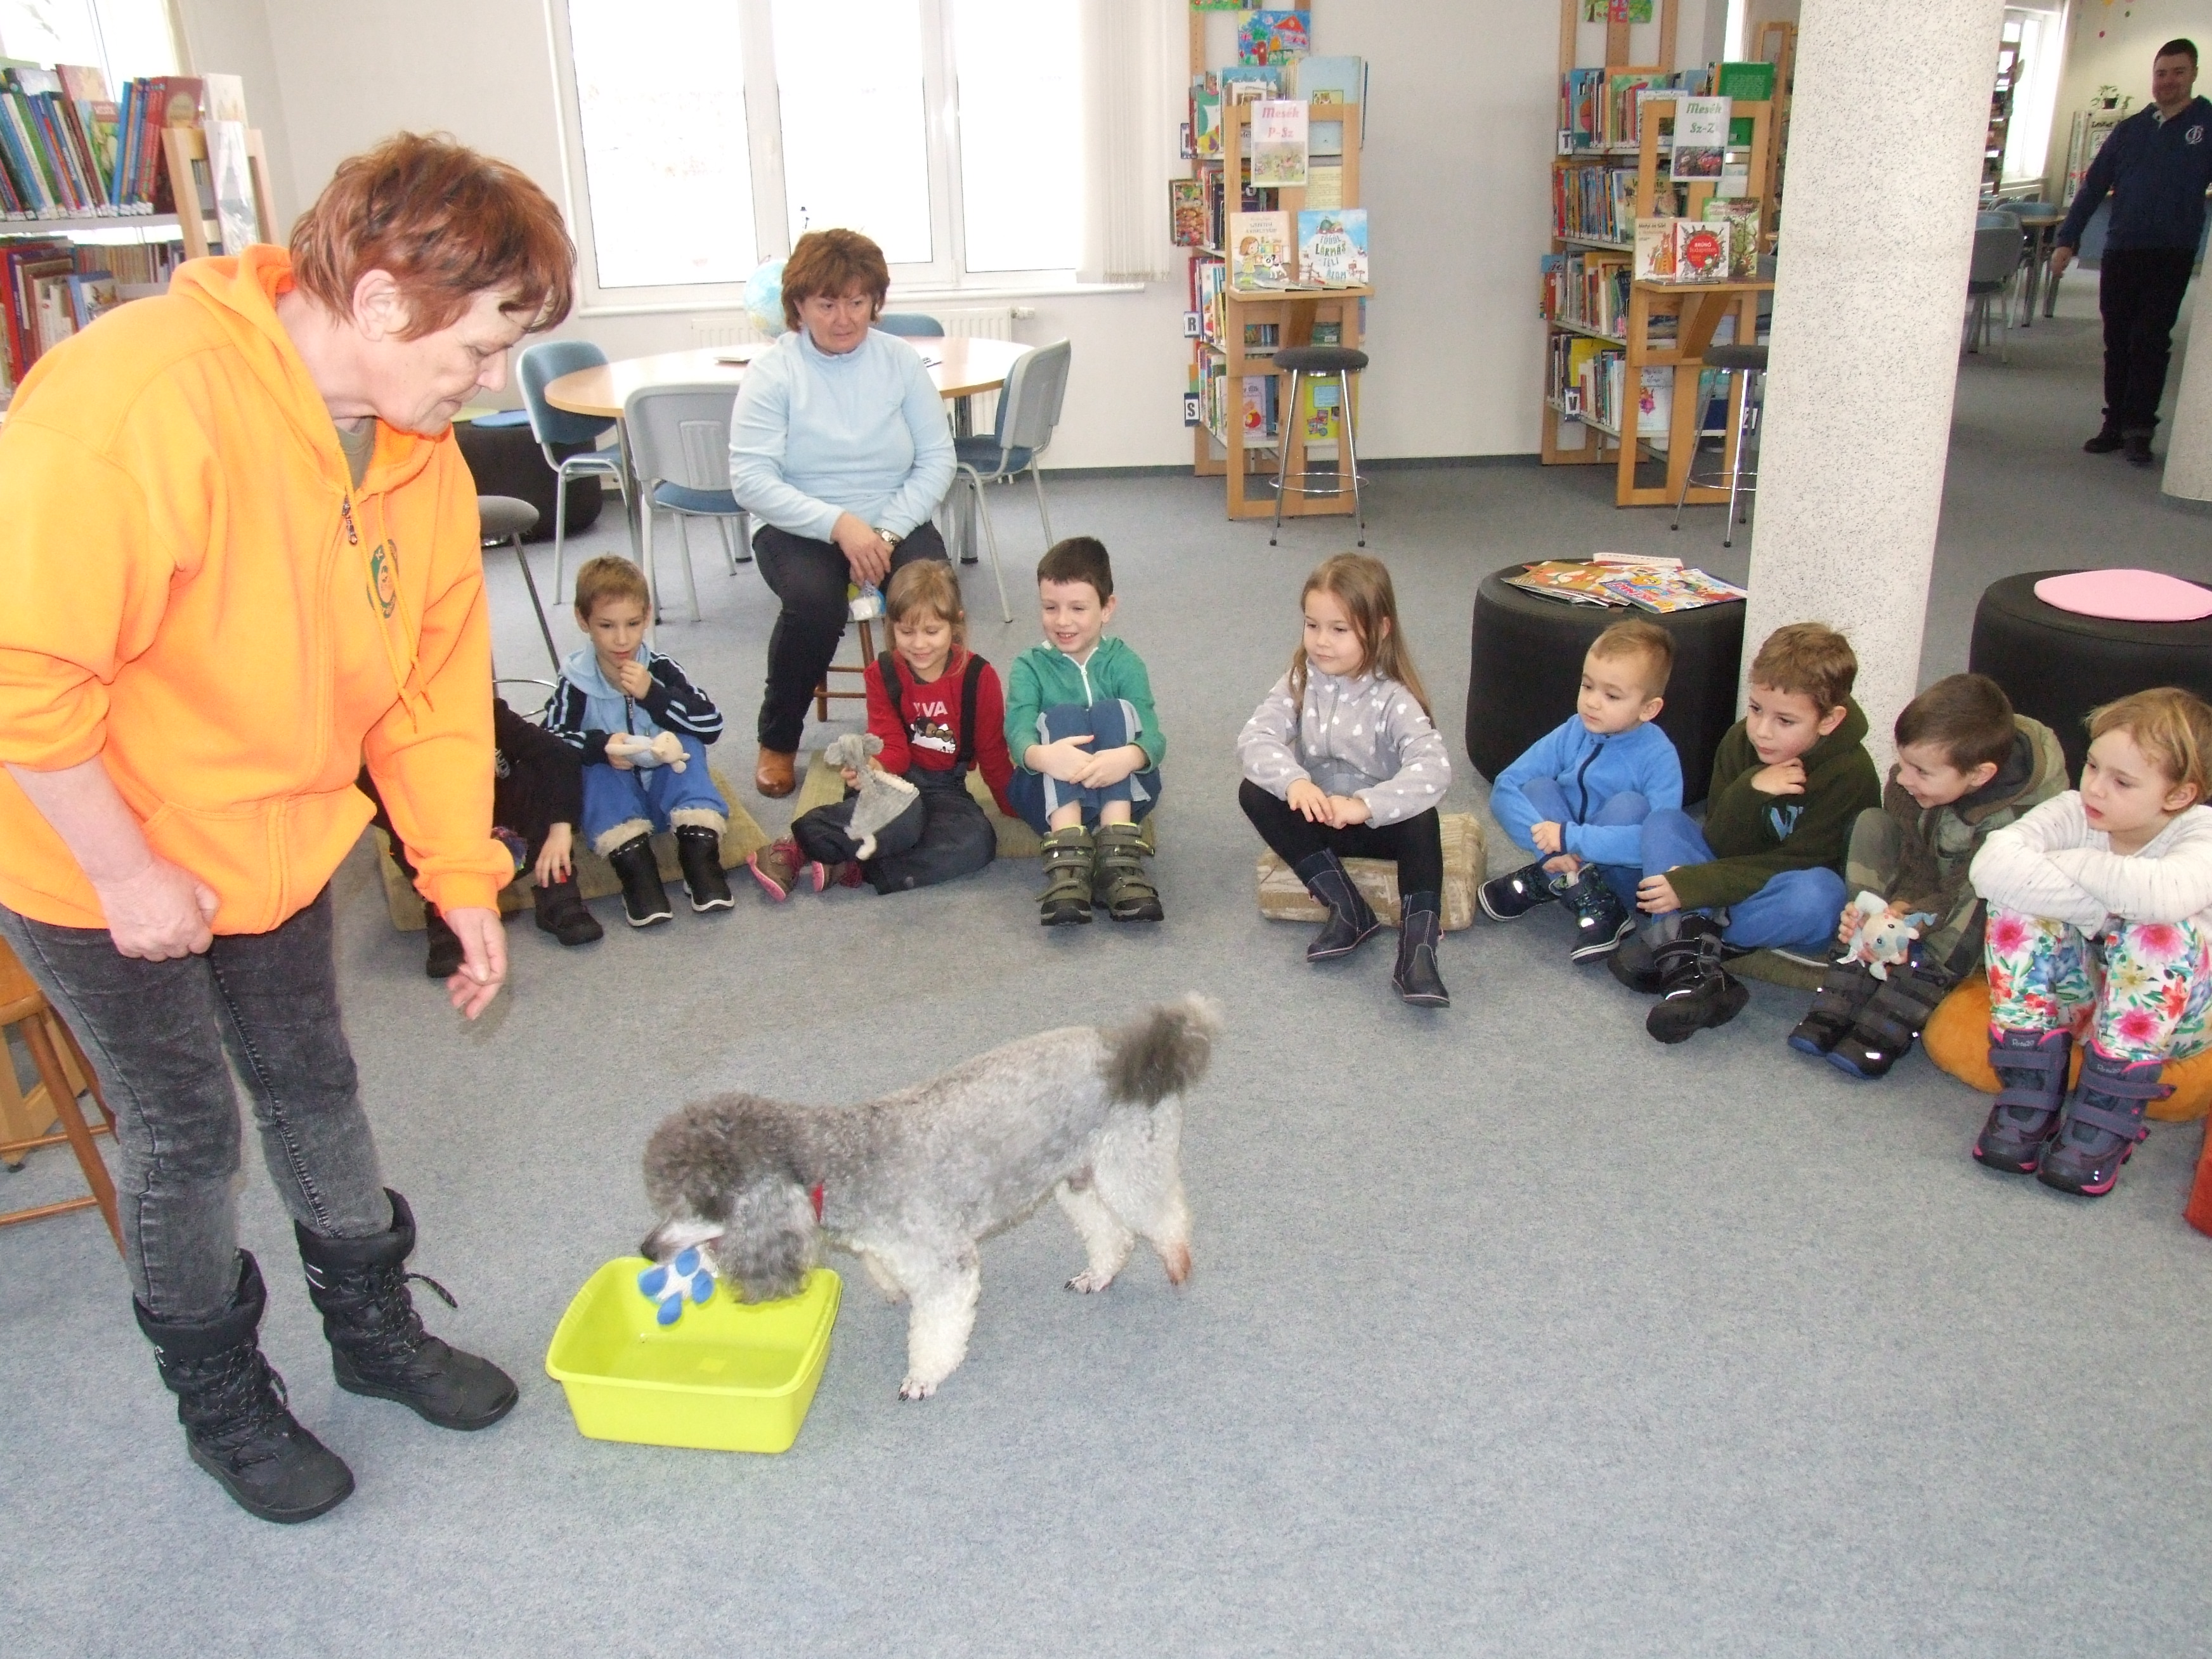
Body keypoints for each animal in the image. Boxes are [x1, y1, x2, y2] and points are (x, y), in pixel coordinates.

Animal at [641, 997, 1218, 1399]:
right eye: (666, 1200)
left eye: (704, 1202)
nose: (648, 1249)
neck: (846, 1159)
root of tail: (1135, 1046)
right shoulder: (890, 1247)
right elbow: (890, 1274)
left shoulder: (947, 1264)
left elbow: (936, 1329)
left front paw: (923, 1376)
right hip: (1076, 1177)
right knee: (1111, 1235)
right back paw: (1099, 1274)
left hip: (1131, 1161)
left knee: (1166, 1216)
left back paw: (1177, 1263)